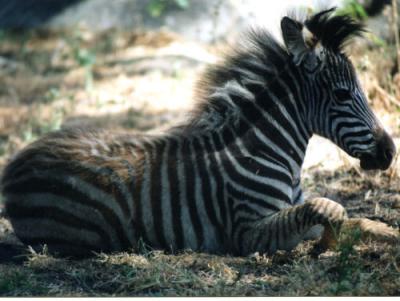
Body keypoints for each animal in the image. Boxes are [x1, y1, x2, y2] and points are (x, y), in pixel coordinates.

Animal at [0, 8, 396, 258]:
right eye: (343, 94)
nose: (390, 152)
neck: (268, 150)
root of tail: (16, 164)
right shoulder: (246, 232)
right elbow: (330, 209)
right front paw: (326, 244)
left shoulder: (288, 209)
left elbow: (356, 217)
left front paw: (389, 234)